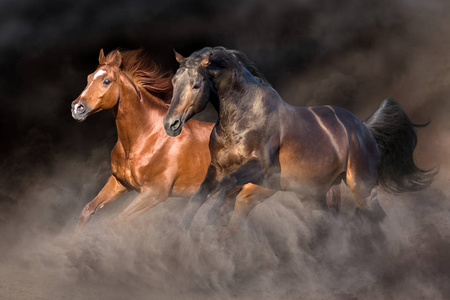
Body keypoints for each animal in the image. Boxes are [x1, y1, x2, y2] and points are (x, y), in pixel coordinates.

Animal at [70, 48, 274, 238]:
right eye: (89, 78)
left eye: (106, 81)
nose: (77, 108)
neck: (145, 139)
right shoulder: (119, 183)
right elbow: (87, 210)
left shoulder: (154, 193)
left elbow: (117, 221)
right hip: (230, 197)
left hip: (247, 197)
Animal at [163, 47, 436, 229]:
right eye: (174, 81)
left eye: (197, 85)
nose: (170, 124)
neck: (242, 118)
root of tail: (364, 129)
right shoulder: (216, 168)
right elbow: (199, 196)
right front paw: (182, 231)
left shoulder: (256, 167)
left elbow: (225, 186)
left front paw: (209, 222)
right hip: (313, 195)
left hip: (361, 186)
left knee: (379, 218)